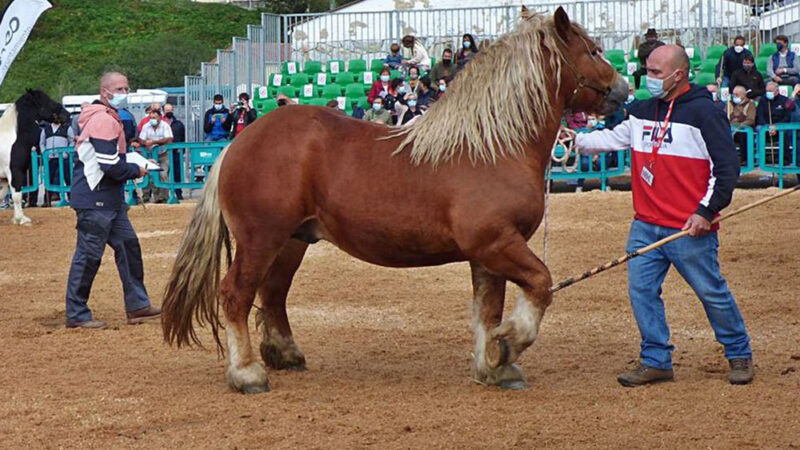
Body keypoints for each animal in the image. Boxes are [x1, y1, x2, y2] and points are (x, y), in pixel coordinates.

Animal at [0, 89, 69, 225]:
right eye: (47, 100)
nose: (67, 114)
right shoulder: (14, 172)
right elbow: (17, 195)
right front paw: (21, 219)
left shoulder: (3, 179)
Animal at [161, 7, 624, 394]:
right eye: (593, 49)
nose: (622, 89)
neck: (490, 146)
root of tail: (237, 144)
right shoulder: (496, 243)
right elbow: (541, 285)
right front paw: (509, 345)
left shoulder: (488, 255)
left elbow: (487, 312)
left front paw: (493, 365)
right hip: (261, 239)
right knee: (236, 295)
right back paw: (247, 374)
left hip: (292, 241)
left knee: (273, 294)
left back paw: (285, 354)